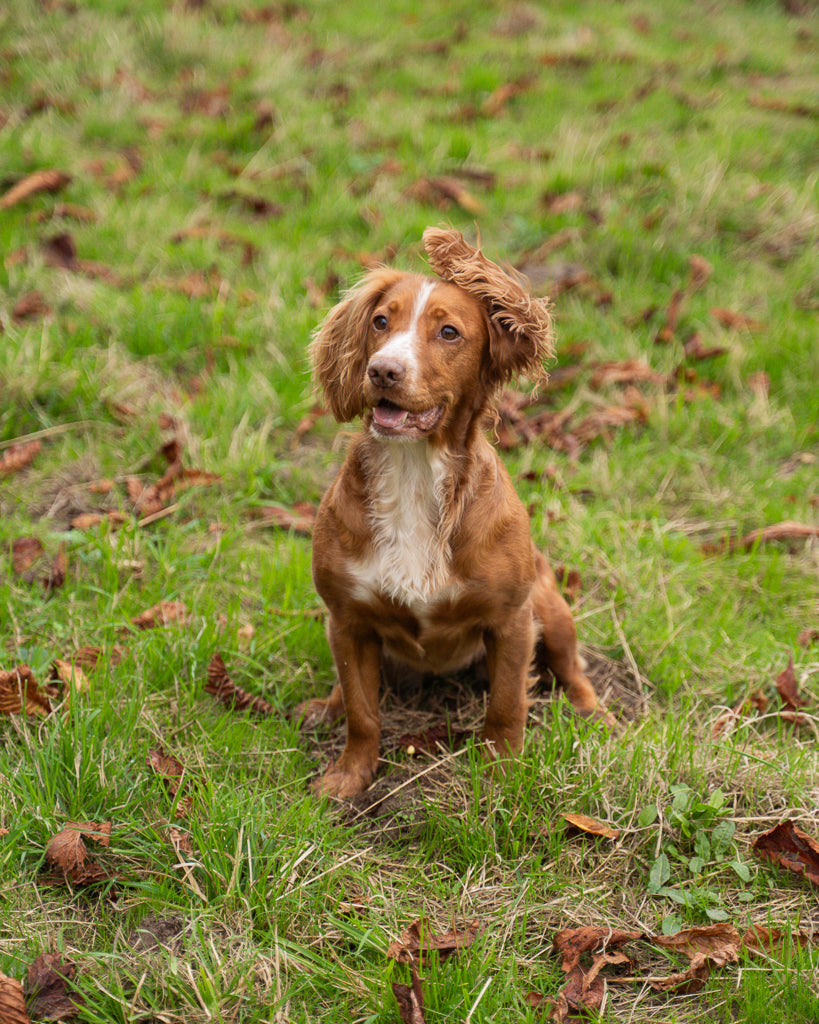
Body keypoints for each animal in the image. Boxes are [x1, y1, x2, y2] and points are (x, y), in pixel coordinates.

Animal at [296, 228, 610, 794]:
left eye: (448, 332)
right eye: (381, 321)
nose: (383, 370)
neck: (413, 473)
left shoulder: (511, 619)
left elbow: (507, 703)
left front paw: (502, 768)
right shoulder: (348, 620)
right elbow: (362, 711)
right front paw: (349, 777)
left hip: (551, 607)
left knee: (573, 669)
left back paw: (596, 714)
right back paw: (324, 706)